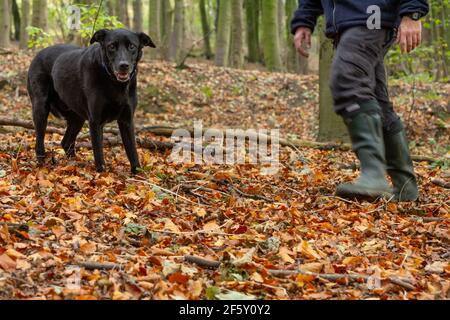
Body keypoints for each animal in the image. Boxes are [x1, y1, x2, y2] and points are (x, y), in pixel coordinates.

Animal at [27, 29, 156, 174]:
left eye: (132, 46)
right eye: (112, 46)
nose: (123, 65)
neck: (115, 83)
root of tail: (38, 54)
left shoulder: (127, 120)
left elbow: (132, 151)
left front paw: (138, 174)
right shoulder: (96, 121)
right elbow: (99, 153)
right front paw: (102, 175)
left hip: (77, 118)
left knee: (66, 142)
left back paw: (75, 164)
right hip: (40, 109)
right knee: (39, 142)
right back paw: (42, 164)